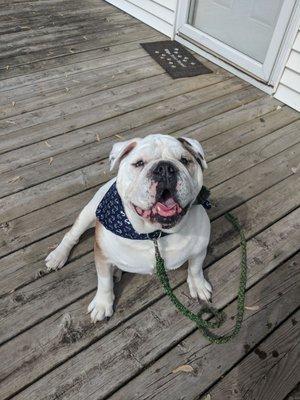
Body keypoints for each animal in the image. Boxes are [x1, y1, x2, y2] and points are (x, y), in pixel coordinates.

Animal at [46, 134, 211, 322]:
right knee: (71, 235)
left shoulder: (199, 250)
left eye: (184, 160)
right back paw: (58, 256)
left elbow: (195, 268)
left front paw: (198, 285)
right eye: (139, 163)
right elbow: (104, 281)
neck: (154, 234)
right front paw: (102, 304)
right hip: (89, 213)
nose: (165, 168)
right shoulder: (102, 255)